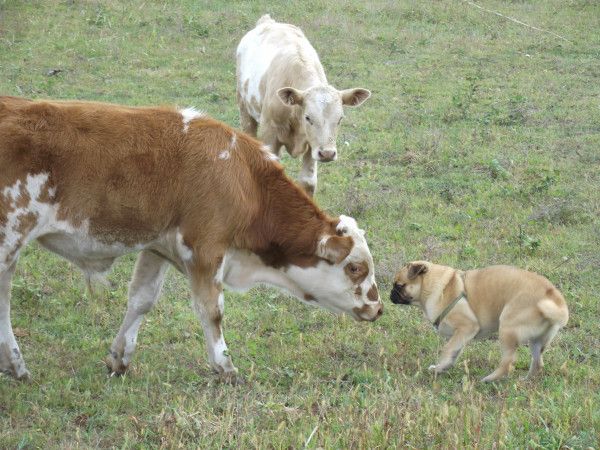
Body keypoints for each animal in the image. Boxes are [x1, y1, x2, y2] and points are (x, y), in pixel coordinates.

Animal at [0, 96, 382, 382]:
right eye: (356, 269)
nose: (378, 308)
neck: (243, 178)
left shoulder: (157, 246)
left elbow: (141, 300)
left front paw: (119, 359)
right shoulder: (206, 249)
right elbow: (211, 310)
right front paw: (225, 367)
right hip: (9, 239)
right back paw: (17, 365)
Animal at [236, 15, 370, 195]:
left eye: (340, 119)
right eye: (308, 117)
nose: (327, 153)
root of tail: (267, 22)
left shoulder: (312, 144)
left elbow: (308, 181)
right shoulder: (269, 134)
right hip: (245, 109)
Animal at [392, 262, 568, 382]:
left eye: (399, 285)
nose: (391, 294)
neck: (436, 286)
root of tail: (553, 299)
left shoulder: (466, 328)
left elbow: (447, 349)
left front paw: (439, 368)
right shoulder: (460, 337)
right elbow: (453, 353)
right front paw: (442, 367)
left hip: (507, 329)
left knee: (508, 362)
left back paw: (489, 379)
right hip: (537, 342)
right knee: (538, 363)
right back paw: (525, 381)